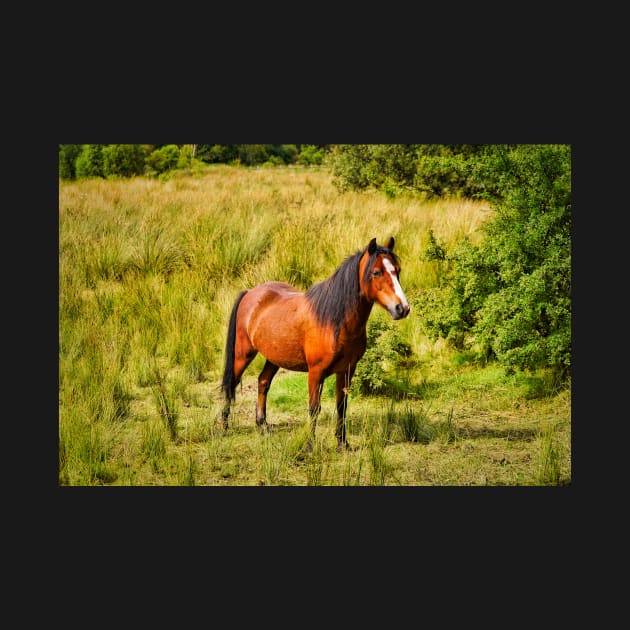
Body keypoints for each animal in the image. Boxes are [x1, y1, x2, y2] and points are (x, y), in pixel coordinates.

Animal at [220, 235, 412, 452]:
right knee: (231, 384)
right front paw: (310, 445)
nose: (402, 308)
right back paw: (224, 426)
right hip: (243, 354)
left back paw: (262, 425)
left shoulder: (347, 370)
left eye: (397, 270)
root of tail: (250, 293)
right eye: (376, 272)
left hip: (274, 358)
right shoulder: (315, 372)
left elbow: (341, 406)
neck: (334, 320)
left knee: (263, 382)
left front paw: (342, 443)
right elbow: (314, 408)